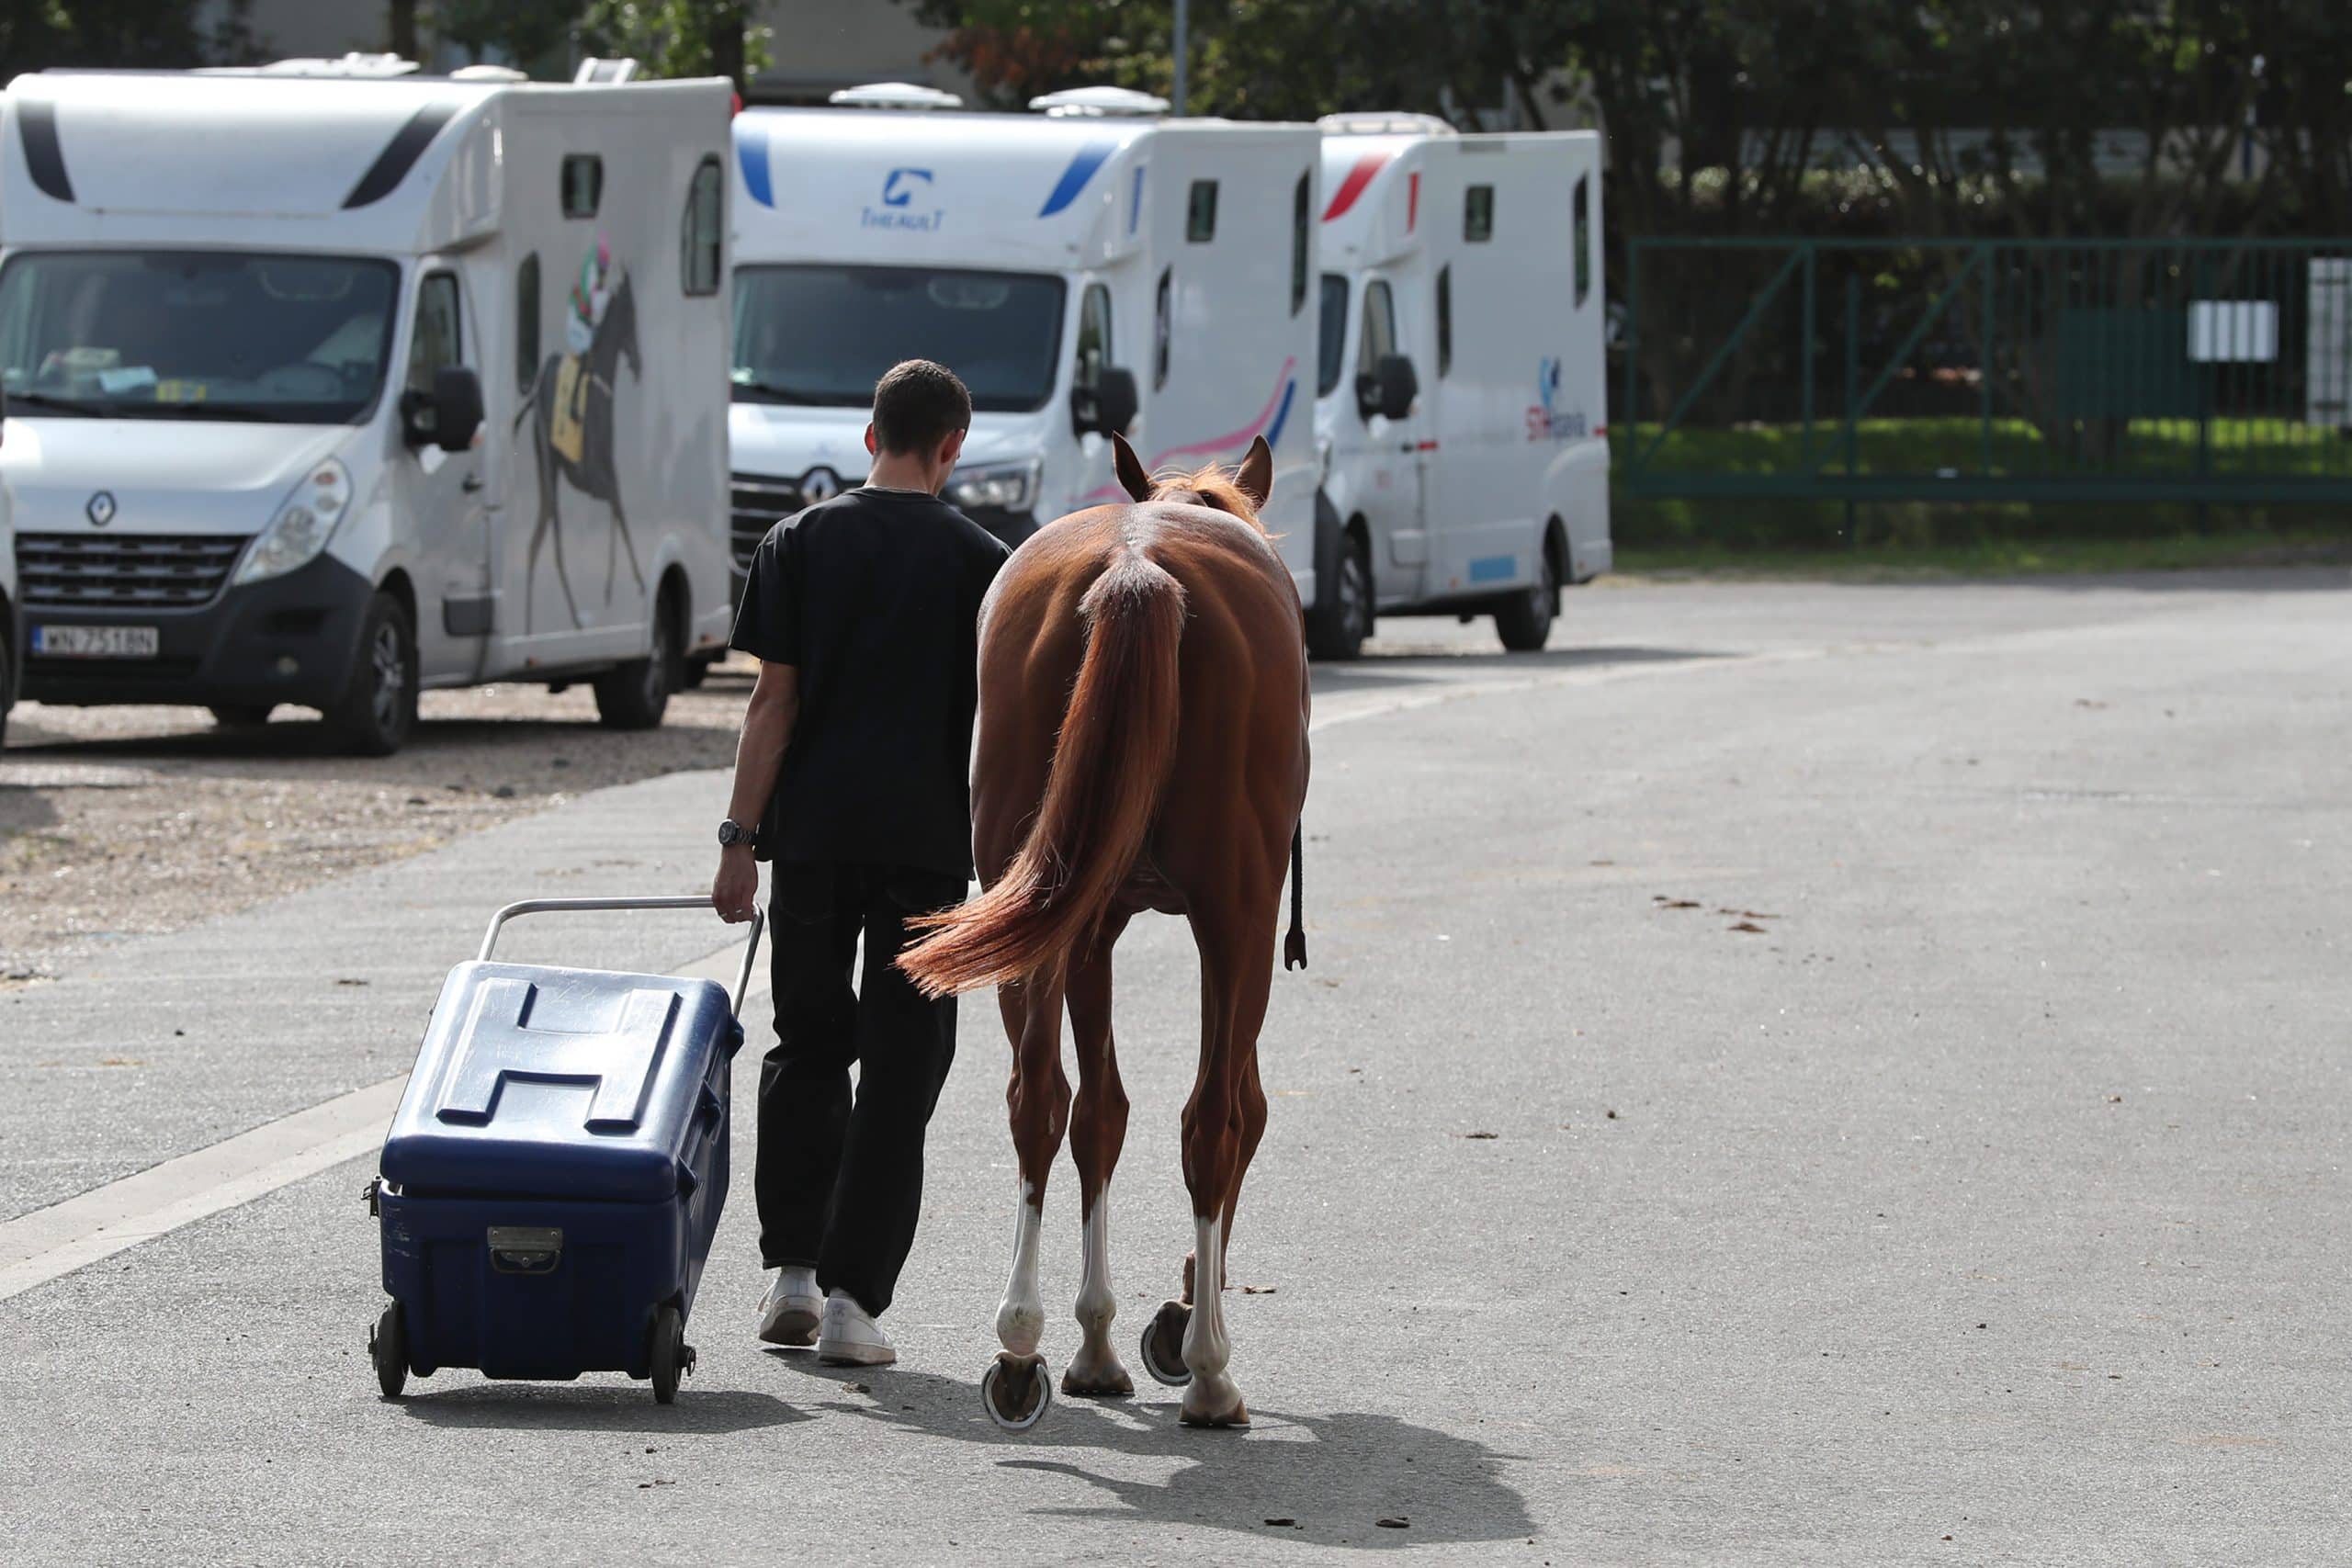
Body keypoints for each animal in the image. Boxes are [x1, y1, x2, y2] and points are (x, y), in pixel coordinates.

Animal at [893, 430, 1307, 1438]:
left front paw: (1096, 1341)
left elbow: (1100, 1116)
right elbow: (1239, 1111)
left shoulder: (1090, 929)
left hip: (1036, 908)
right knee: (1214, 1117)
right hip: (1237, 917)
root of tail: (1137, 562)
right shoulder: (1237, 927)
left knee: (1039, 1101)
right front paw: (1182, 1319)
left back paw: (1021, 1347)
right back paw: (1208, 1374)